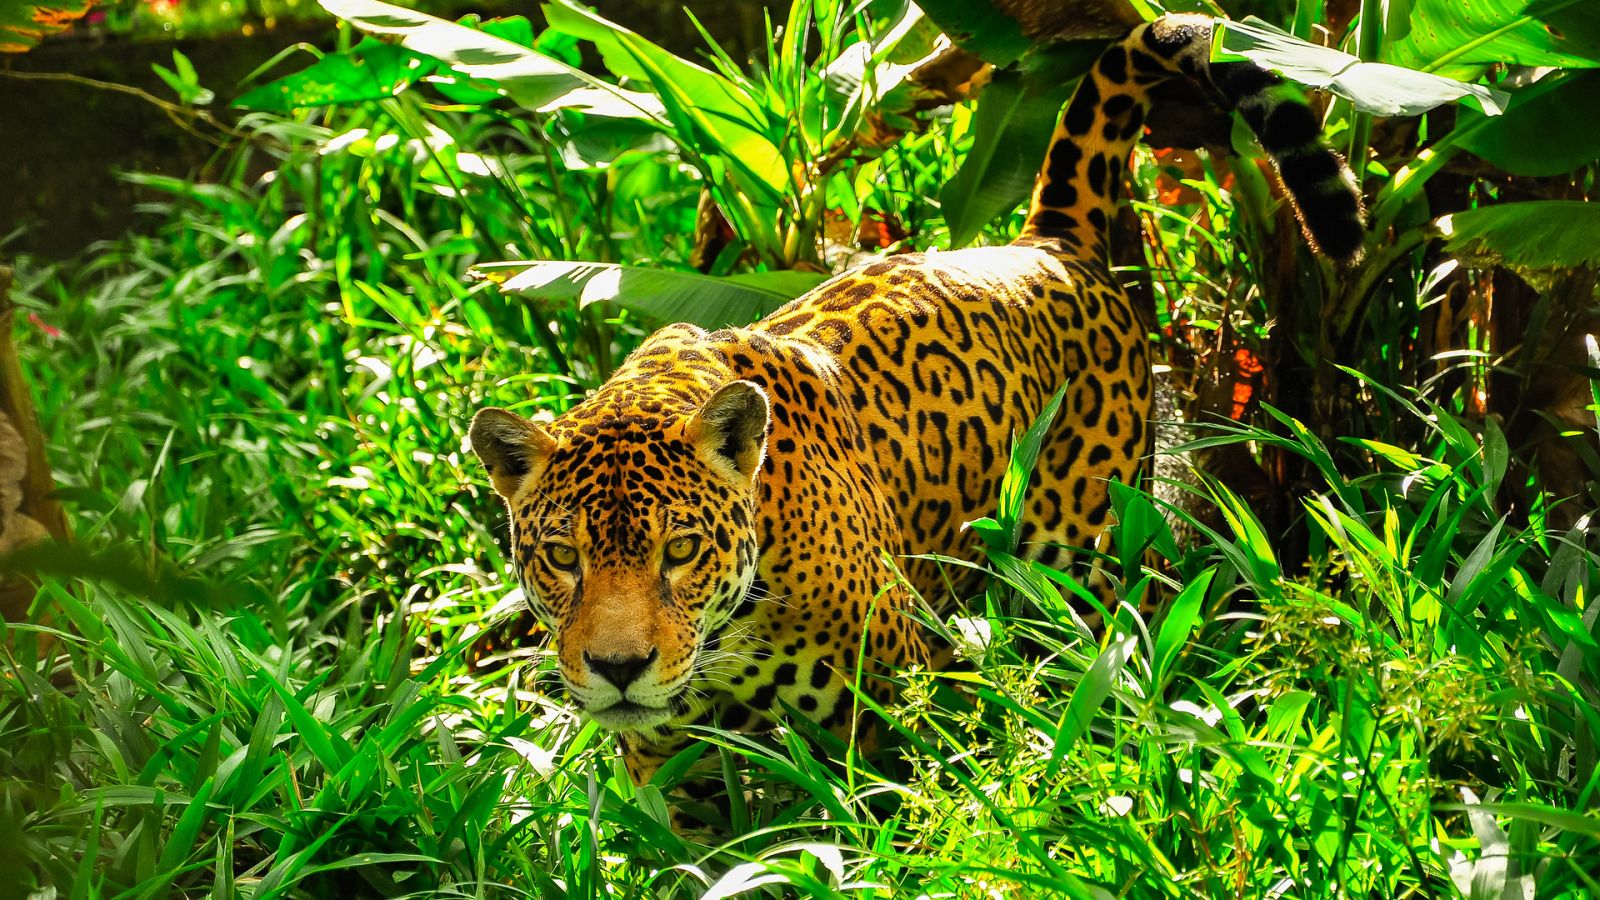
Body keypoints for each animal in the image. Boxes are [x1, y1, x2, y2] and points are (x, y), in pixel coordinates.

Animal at [468, 13, 1363, 789]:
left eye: (680, 550)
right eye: (562, 557)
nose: (619, 670)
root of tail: (1048, 240)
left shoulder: (891, 720)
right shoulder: (672, 775)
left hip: (1090, 560)